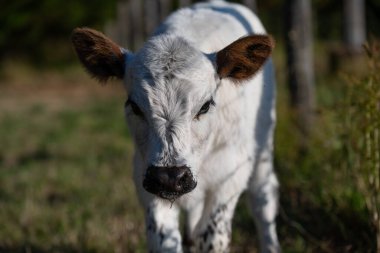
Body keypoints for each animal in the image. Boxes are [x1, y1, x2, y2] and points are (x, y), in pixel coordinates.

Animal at [70, 0, 280, 253]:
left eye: (205, 106)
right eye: (135, 106)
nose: (169, 177)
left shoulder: (230, 175)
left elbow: (213, 237)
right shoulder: (146, 180)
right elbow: (163, 241)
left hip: (263, 146)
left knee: (263, 200)